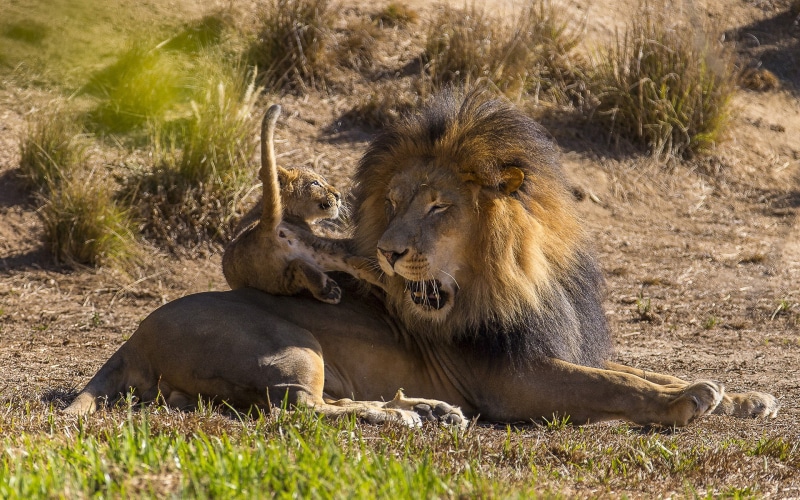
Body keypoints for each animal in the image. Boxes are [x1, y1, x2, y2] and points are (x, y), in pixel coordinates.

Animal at [65, 90, 778, 427]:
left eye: (439, 207)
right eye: (395, 201)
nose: (385, 251)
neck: (519, 273)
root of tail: (132, 337)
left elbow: (639, 369)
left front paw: (742, 397)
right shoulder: (511, 380)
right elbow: (613, 384)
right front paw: (686, 401)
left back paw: (427, 411)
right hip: (291, 347)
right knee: (299, 410)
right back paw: (413, 416)